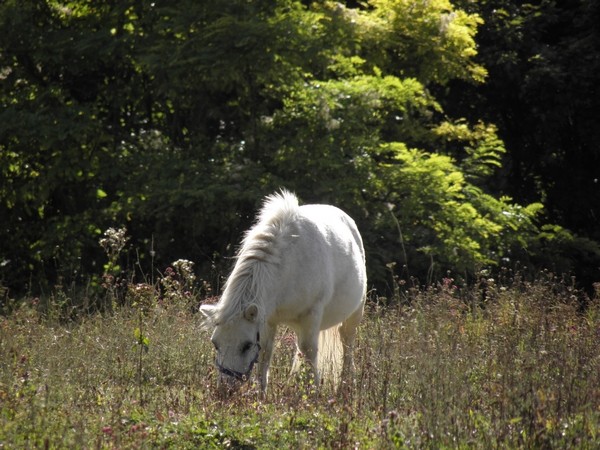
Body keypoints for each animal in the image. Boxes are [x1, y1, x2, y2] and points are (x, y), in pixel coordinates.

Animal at [200, 191, 366, 398]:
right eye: (215, 344)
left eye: (246, 345)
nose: (225, 390)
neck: (286, 267)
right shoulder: (267, 320)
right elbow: (266, 355)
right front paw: (261, 396)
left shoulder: (311, 316)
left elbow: (310, 354)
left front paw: (314, 395)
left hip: (354, 315)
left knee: (347, 346)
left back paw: (347, 385)